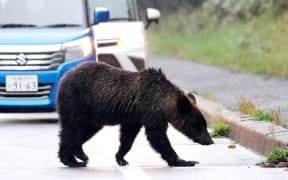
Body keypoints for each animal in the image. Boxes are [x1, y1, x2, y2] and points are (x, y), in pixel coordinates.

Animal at [56, 62, 214, 167]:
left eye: (204, 124)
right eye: (199, 125)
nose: (209, 140)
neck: (162, 102)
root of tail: (64, 76)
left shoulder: (134, 116)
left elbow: (127, 137)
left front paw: (121, 158)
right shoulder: (150, 111)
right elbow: (157, 137)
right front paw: (184, 161)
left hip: (92, 115)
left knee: (84, 131)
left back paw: (80, 154)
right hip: (77, 102)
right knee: (71, 130)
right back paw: (72, 160)